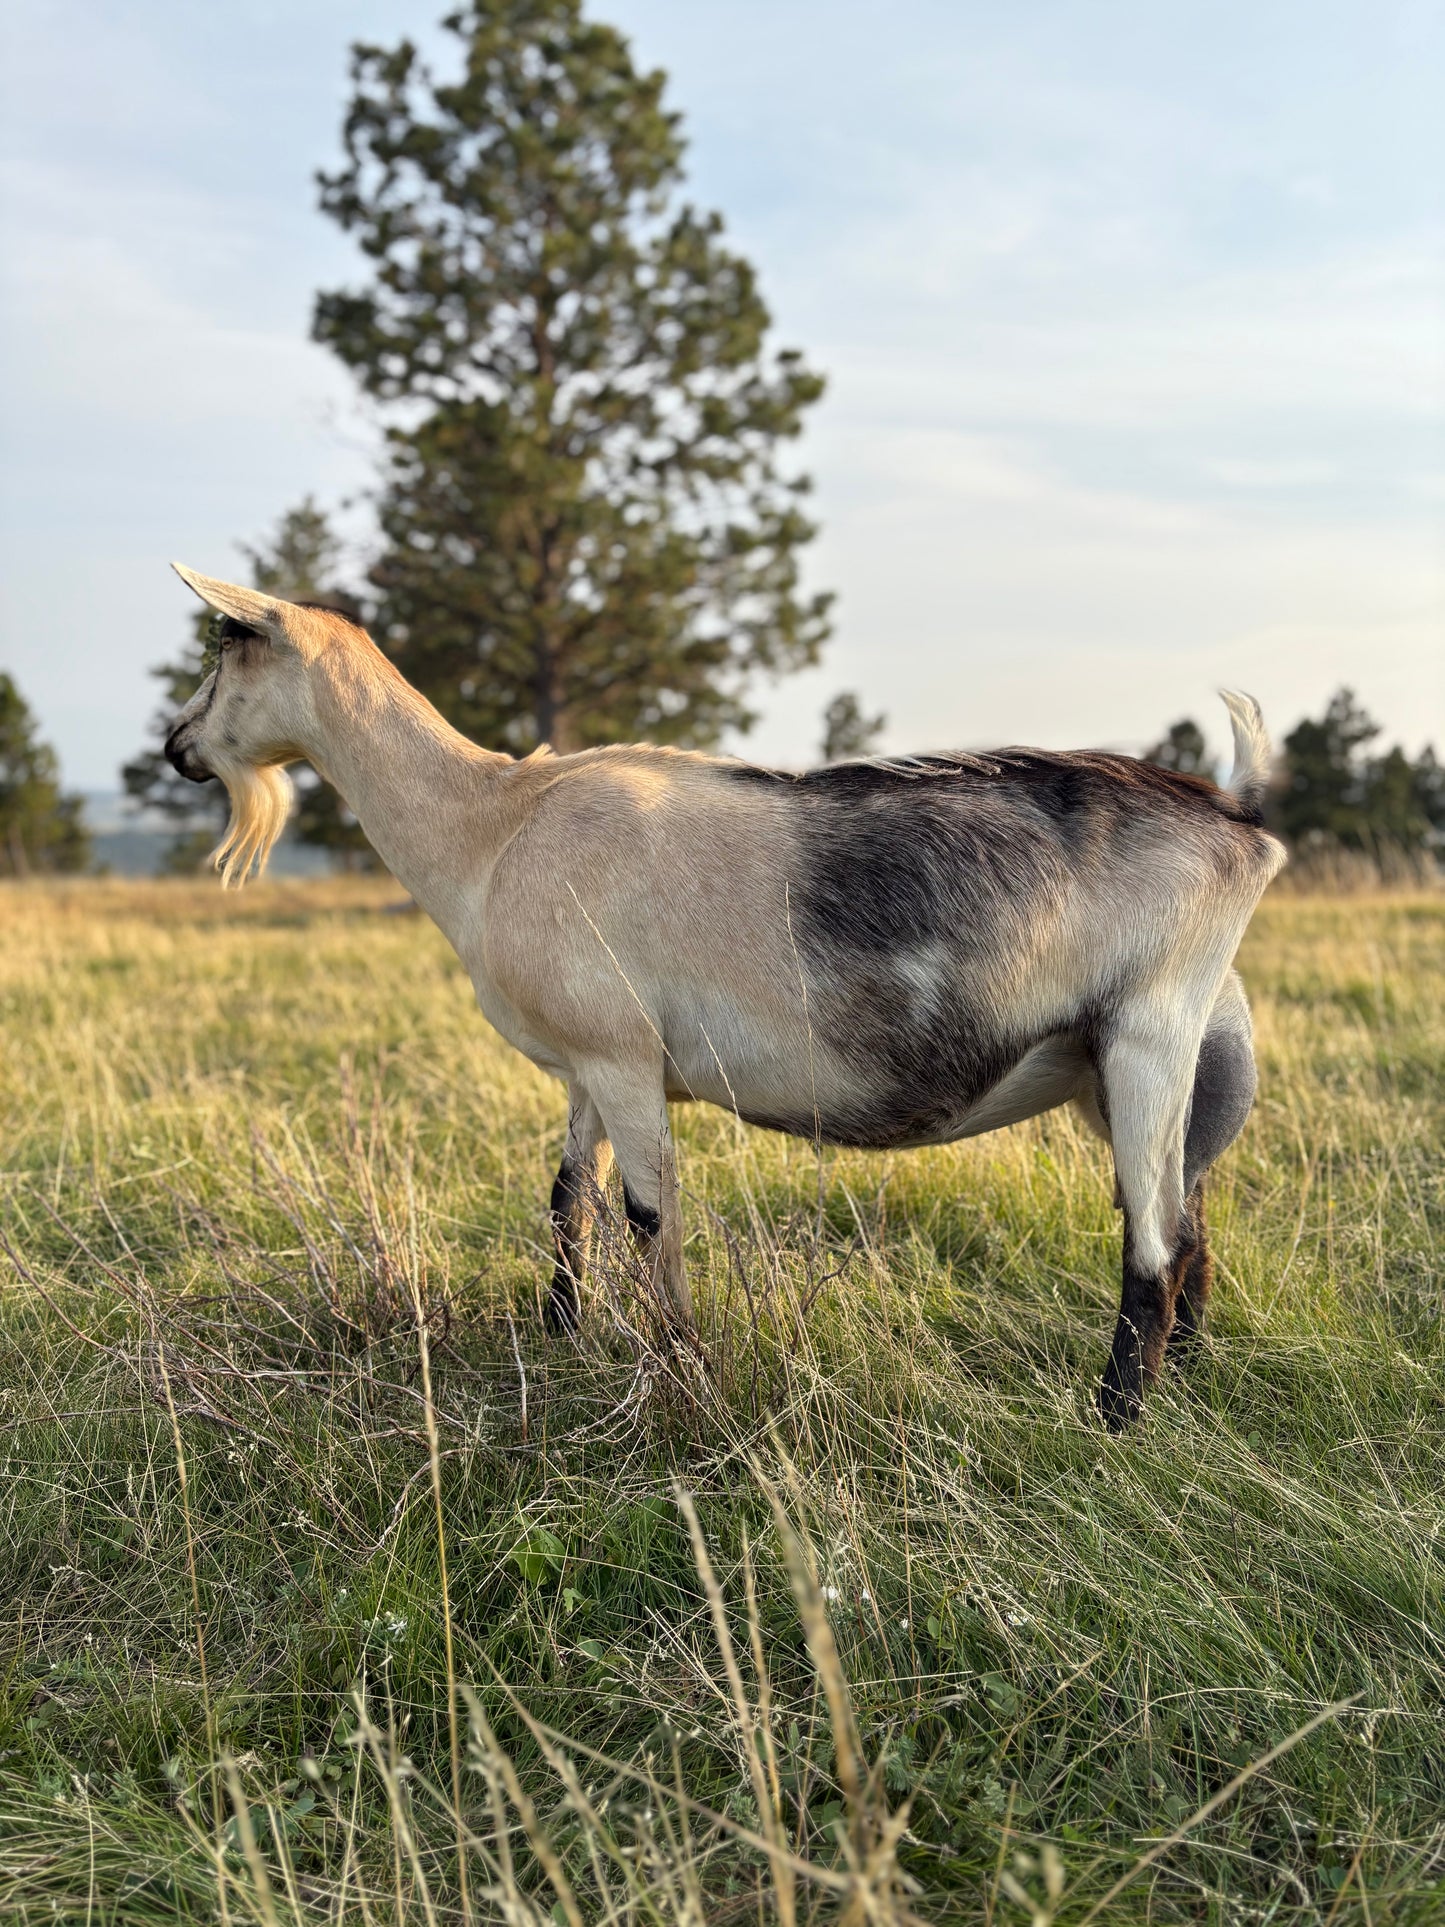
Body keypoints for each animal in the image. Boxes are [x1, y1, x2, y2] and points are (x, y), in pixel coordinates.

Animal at [164, 564, 1286, 1426]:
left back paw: (1111, 1418)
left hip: (1148, 1032)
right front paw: (560, 1335)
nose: (176, 745)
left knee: (1150, 1247)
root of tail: (1235, 817)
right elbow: (565, 1195)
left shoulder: (622, 1059)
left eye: (227, 644)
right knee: (1188, 1224)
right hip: (1130, 1064)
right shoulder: (587, 1062)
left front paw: (680, 1372)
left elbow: (646, 1212)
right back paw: (1181, 1381)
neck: (493, 822)